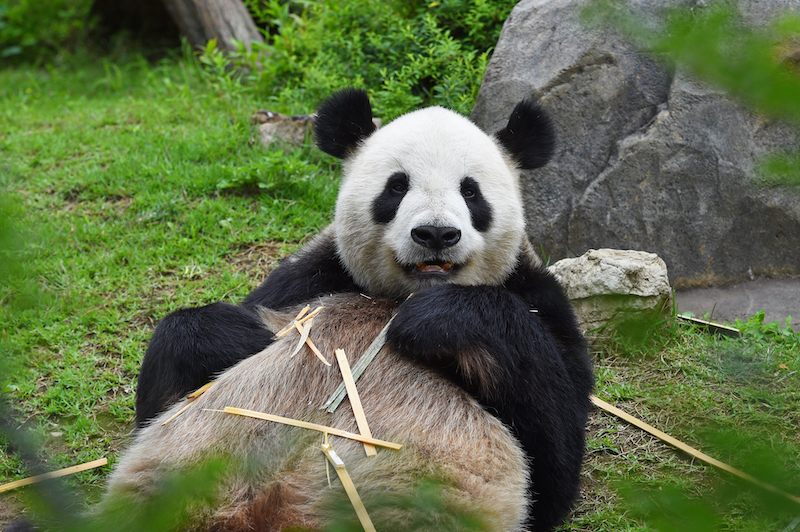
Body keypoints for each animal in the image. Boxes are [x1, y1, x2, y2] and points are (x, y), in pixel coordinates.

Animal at [106, 90, 592, 532]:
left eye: (471, 191)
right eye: (397, 186)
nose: (436, 234)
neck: (398, 295)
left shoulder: (536, 295)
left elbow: (554, 455)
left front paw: (437, 320)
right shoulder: (312, 277)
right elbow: (192, 343)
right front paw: (241, 337)